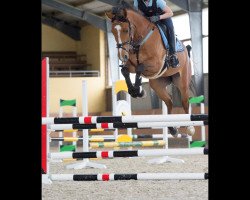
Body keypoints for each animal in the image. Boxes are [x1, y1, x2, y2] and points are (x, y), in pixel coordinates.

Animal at [105, 2, 193, 138]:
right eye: (113, 32)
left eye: (126, 30)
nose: (122, 56)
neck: (140, 40)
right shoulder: (131, 65)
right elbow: (125, 71)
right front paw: (136, 91)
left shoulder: (155, 64)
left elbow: (139, 68)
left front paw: (137, 90)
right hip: (157, 84)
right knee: (169, 102)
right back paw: (172, 129)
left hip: (182, 82)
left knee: (185, 102)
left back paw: (189, 127)